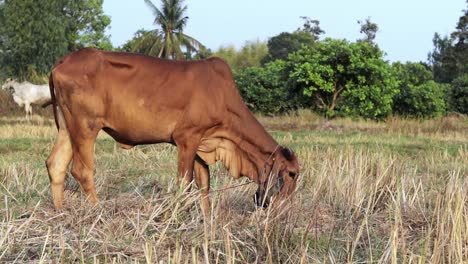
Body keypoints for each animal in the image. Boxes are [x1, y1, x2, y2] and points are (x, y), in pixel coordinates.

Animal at [44, 48, 300, 214]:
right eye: (292, 174)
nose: (285, 208)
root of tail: (61, 63)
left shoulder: (201, 144)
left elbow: (204, 185)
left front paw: (206, 221)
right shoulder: (186, 139)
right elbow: (184, 183)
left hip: (68, 127)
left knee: (56, 165)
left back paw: (60, 213)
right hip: (86, 127)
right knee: (82, 170)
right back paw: (98, 213)